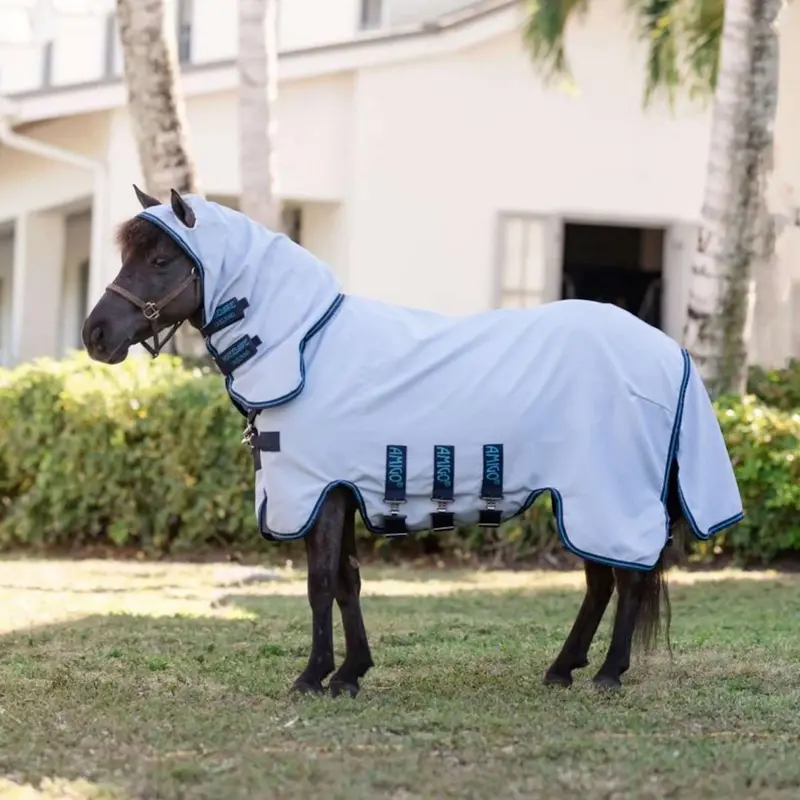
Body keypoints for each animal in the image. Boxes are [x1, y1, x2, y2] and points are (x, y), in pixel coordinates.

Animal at [82, 186, 744, 697]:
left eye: (161, 260)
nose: (96, 335)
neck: (307, 347)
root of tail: (669, 350)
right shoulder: (343, 491)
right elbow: (346, 581)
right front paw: (350, 673)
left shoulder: (319, 493)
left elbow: (320, 583)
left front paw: (312, 677)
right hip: (582, 497)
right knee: (603, 581)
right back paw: (563, 669)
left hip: (606, 495)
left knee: (626, 578)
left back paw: (608, 673)